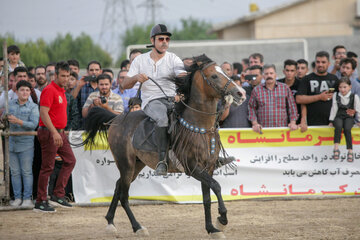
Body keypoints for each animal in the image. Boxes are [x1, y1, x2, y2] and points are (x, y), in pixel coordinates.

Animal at [80, 54, 246, 238]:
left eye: (225, 71)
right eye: (214, 76)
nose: (240, 93)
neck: (201, 128)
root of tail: (117, 119)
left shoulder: (207, 168)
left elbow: (207, 198)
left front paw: (211, 228)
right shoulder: (193, 168)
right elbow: (216, 186)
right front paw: (222, 220)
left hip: (136, 164)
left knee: (118, 186)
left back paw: (110, 222)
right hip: (125, 164)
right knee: (124, 195)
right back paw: (138, 227)